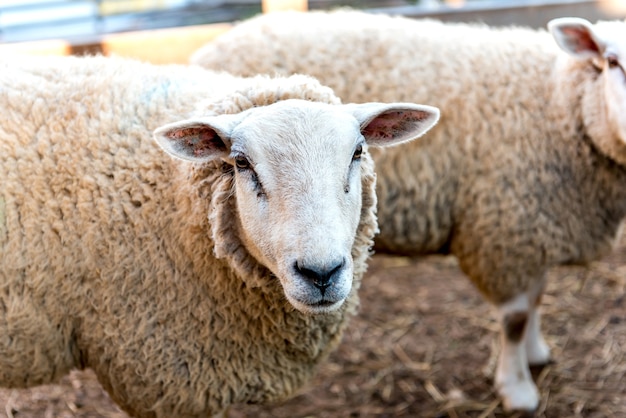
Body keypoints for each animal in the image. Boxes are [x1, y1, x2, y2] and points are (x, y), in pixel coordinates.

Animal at [188, 9, 624, 412]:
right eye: (613, 61)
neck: (558, 102)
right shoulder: (504, 230)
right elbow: (515, 318)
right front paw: (517, 389)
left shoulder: (532, 226)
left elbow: (536, 297)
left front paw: (535, 355)